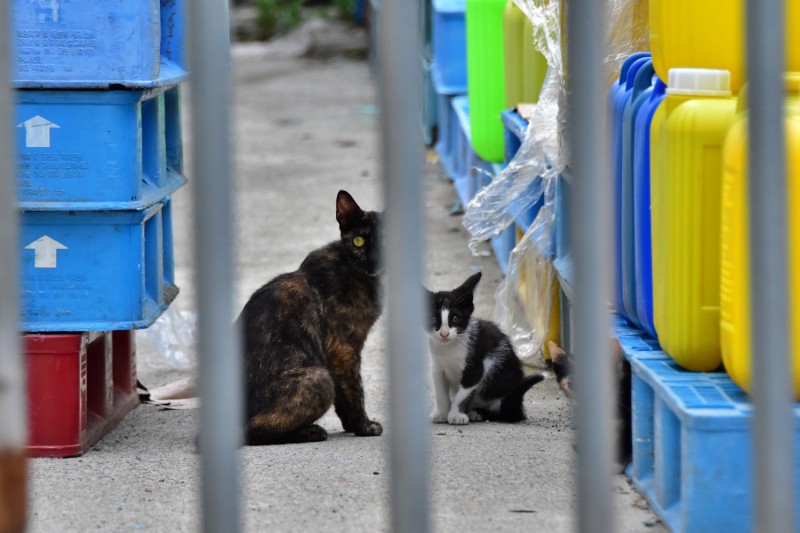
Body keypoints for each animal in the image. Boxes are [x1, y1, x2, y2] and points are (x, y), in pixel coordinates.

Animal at [239, 189, 382, 442]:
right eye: (359, 241)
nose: (373, 259)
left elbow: (344, 396)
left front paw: (351, 425)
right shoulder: (342, 349)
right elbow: (355, 391)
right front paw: (364, 427)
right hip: (318, 378)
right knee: (252, 428)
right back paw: (310, 431)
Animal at [424, 270, 544, 424]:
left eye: (455, 318)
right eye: (433, 319)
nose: (444, 334)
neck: (449, 348)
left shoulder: (477, 367)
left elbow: (463, 393)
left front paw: (456, 414)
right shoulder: (437, 367)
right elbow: (440, 392)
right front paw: (442, 413)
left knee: (507, 414)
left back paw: (478, 413)